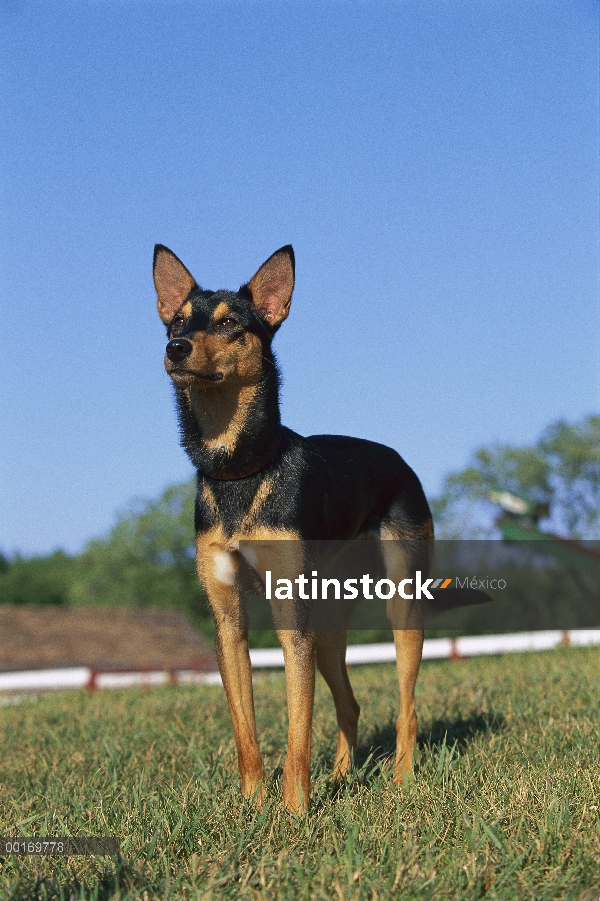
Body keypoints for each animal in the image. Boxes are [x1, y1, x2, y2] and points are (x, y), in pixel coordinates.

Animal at [152, 243, 434, 812]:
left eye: (230, 322)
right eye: (176, 321)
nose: (175, 348)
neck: (240, 470)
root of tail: (398, 460)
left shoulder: (291, 620)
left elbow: (297, 729)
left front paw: (294, 812)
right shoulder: (228, 624)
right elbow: (247, 732)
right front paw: (253, 806)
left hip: (401, 608)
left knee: (407, 707)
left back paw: (401, 782)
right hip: (327, 624)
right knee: (350, 706)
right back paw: (342, 779)